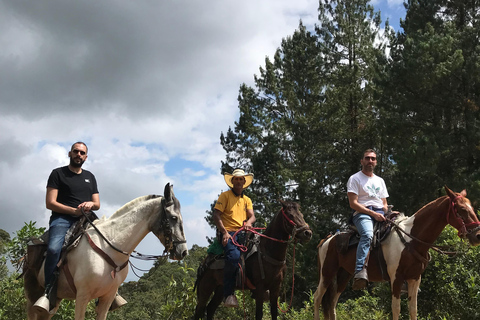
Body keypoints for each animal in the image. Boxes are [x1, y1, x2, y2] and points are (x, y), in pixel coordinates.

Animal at [23, 182, 188, 320]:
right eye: (174, 218)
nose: (183, 252)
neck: (109, 247)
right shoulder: (82, 296)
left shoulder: (107, 297)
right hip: (33, 296)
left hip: (55, 300)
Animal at [314, 185, 480, 320]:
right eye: (462, 209)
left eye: (472, 208)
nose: (477, 235)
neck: (411, 239)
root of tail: (327, 240)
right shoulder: (396, 278)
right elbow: (396, 309)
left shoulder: (414, 278)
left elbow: (413, 310)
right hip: (327, 273)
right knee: (317, 298)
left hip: (344, 274)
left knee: (332, 303)